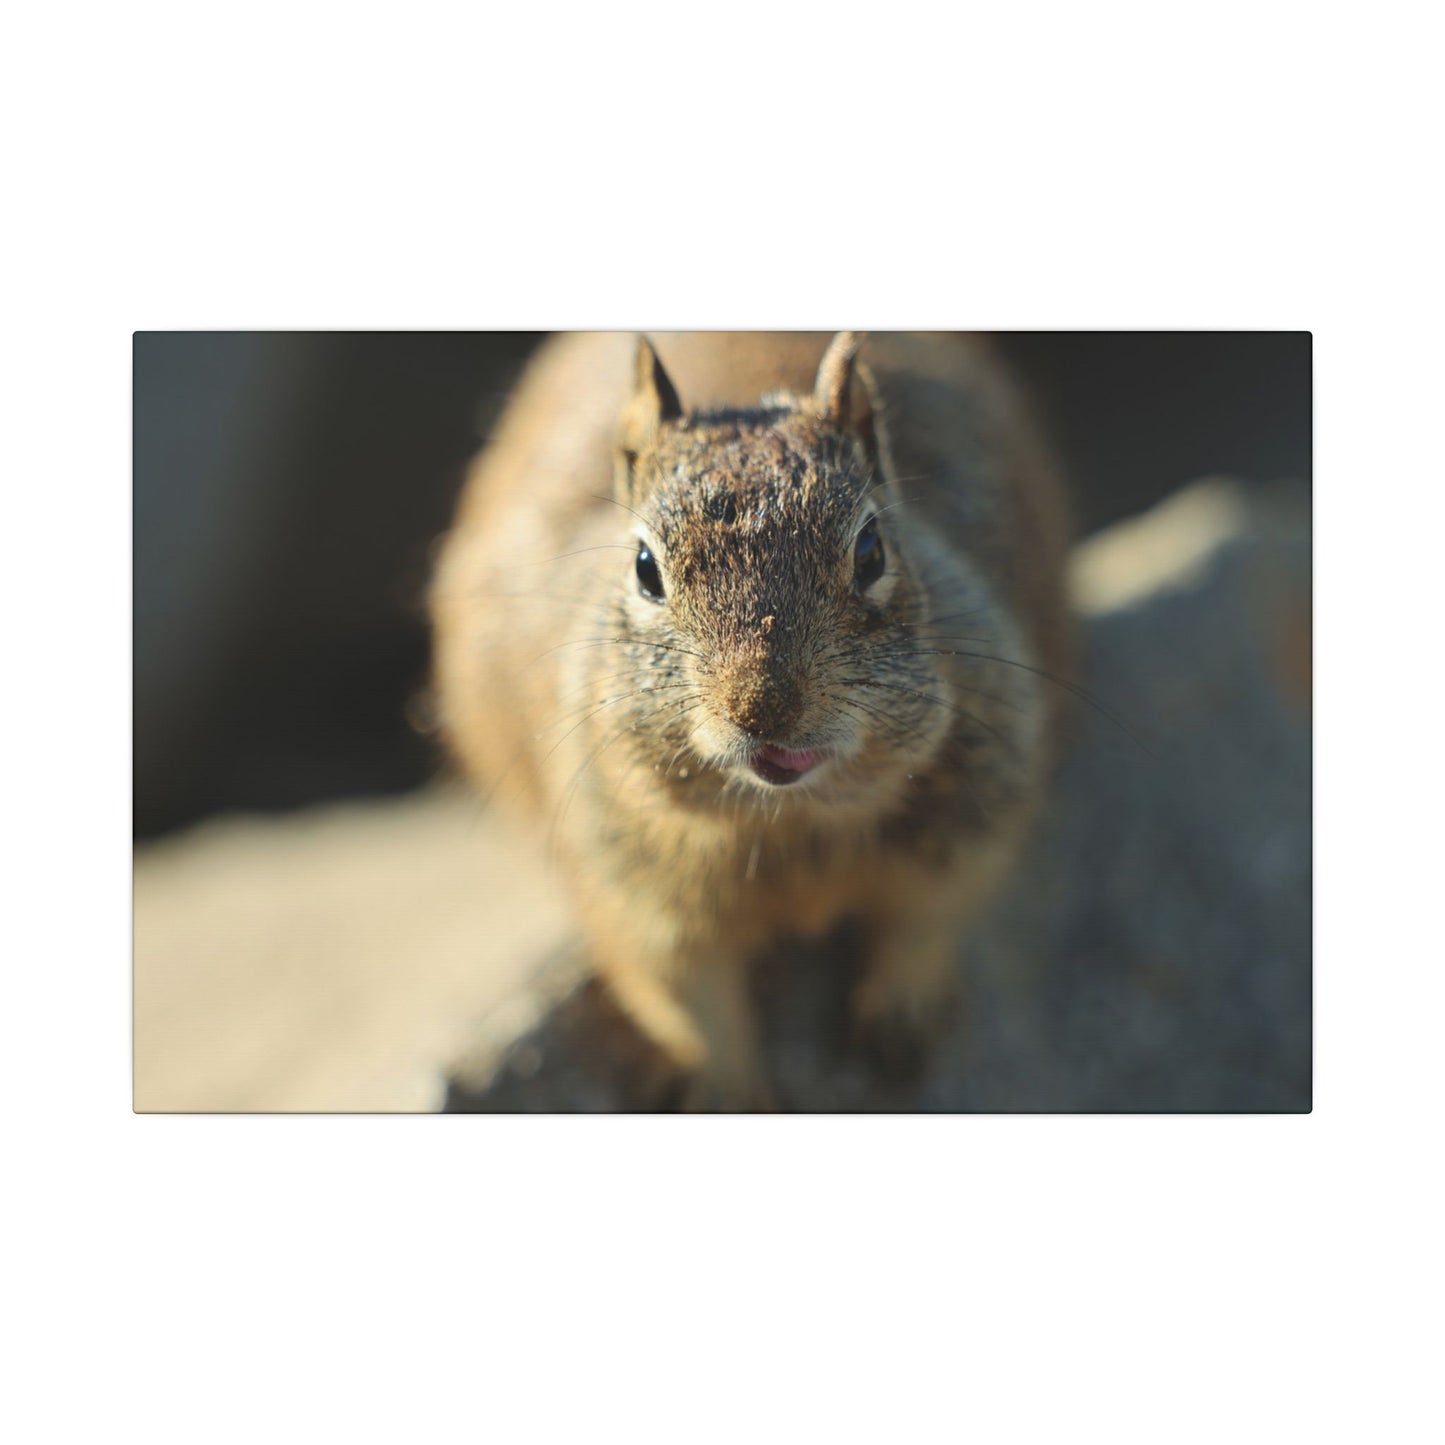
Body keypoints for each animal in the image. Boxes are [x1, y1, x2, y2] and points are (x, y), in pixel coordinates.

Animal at [430, 332, 1074, 1109]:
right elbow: (686, 1003)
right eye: (643, 567)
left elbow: (930, 917)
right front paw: (730, 1094)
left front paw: (899, 1012)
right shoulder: (631, 893)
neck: (792, 821)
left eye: (872, 549)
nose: (763, 708)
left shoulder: (976, 807)